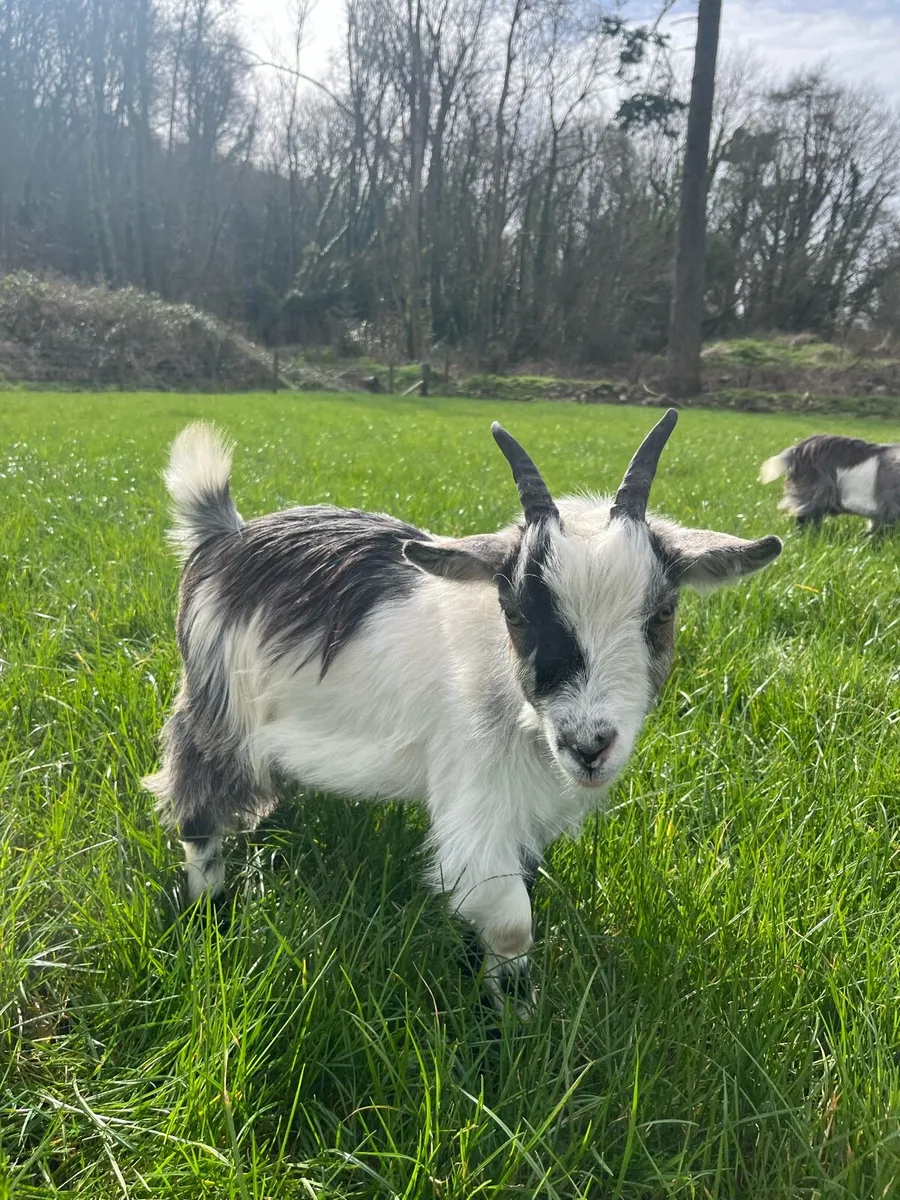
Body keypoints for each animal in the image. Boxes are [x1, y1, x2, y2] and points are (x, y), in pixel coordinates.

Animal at [145, 412, 782, 1007]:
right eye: (517, 614)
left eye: (660, 614)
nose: (589, 746)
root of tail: (226, 535)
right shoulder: (475, 797)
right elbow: (510, 919)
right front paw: (515, 1021)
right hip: (217, 707)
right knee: (195, 803)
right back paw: (210, 903)